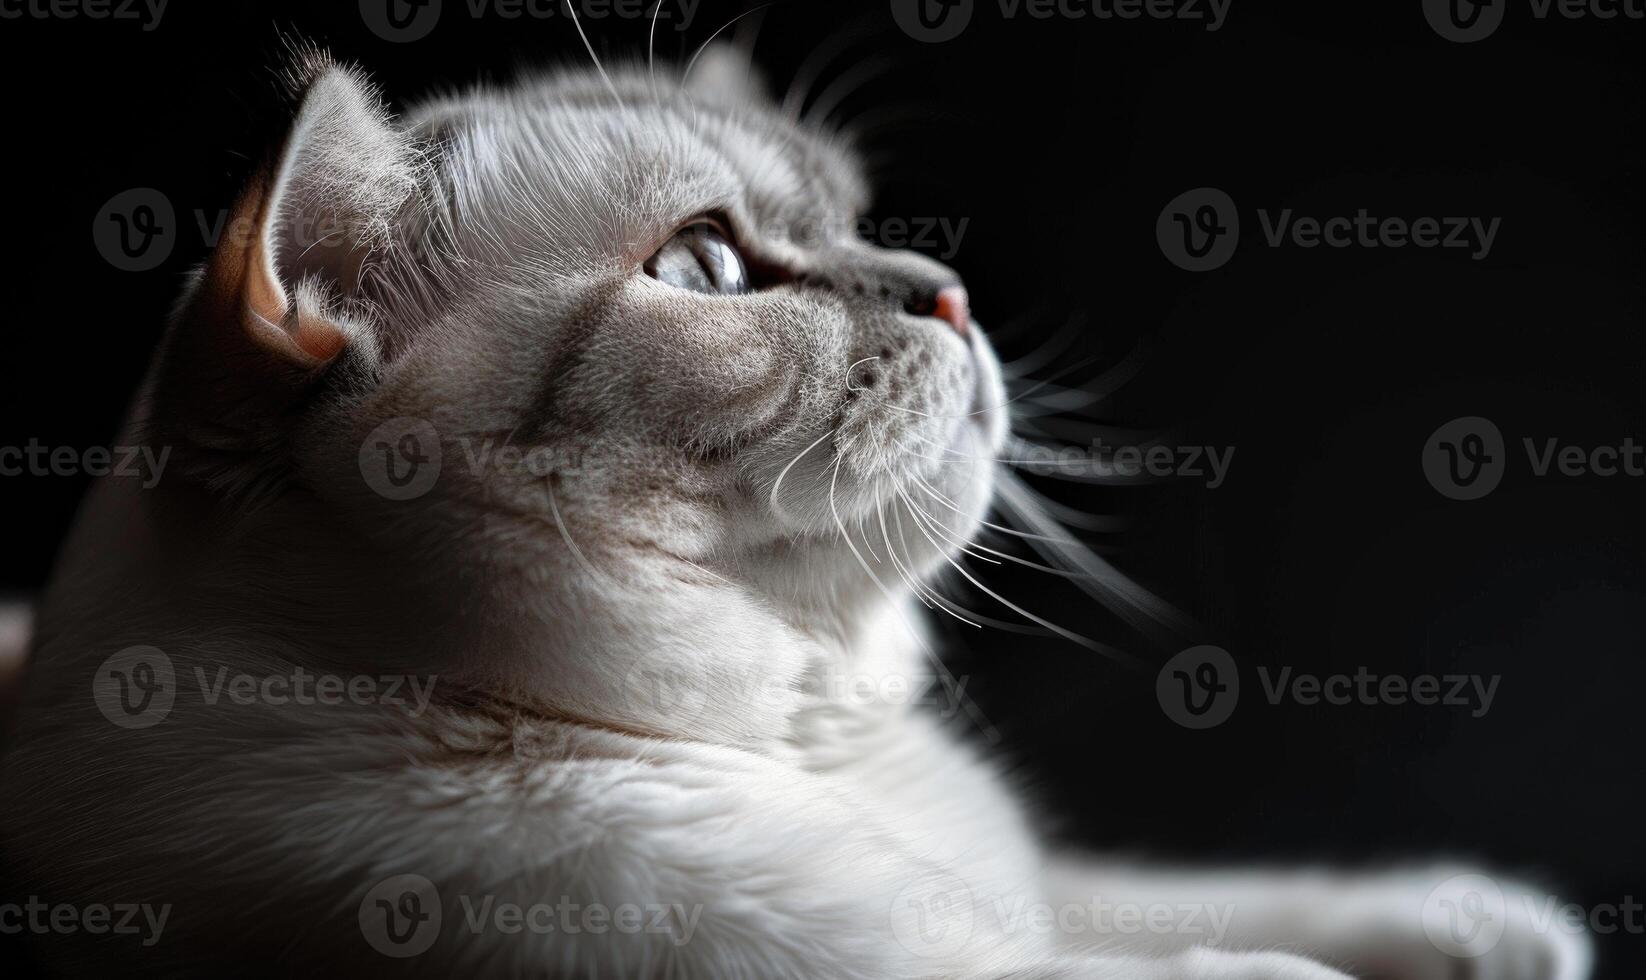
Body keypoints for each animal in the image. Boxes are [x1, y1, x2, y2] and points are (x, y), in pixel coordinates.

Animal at [0, 42, 1593, 975]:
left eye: (856, 220)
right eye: (707, 271)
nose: (945, 291)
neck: (813, 754)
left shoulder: (1032, 899)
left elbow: (1184, 896)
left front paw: (1483, 926)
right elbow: (1203, 968)